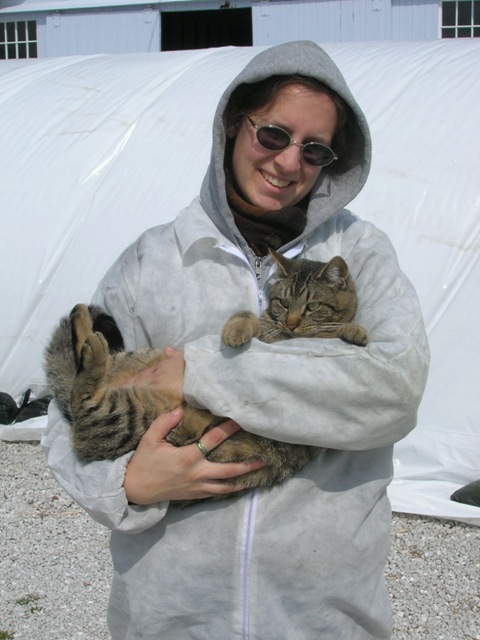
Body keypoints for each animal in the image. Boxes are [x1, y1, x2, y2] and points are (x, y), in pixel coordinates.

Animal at [45, 251, 368, 504]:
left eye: (312, 306)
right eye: (284, 303)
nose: (291, 323)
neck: (283, 337)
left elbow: (338, 330)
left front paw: (354, 331)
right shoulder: (264, 323)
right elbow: (246, 315)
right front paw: (236, 329)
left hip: (127, 417)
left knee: (85, 408)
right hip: (138, 364)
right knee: (80, 383)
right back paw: (83, 321)